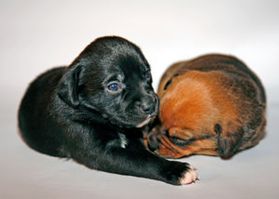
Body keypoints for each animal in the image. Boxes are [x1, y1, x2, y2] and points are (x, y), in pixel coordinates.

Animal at [17, 36, 198, 185]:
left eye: (147, 75)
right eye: (113, 86)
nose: (151, 104)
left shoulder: (134, 140)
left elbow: (145, 155)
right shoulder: (99, 151)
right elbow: (142, 161)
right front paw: (178, 170)